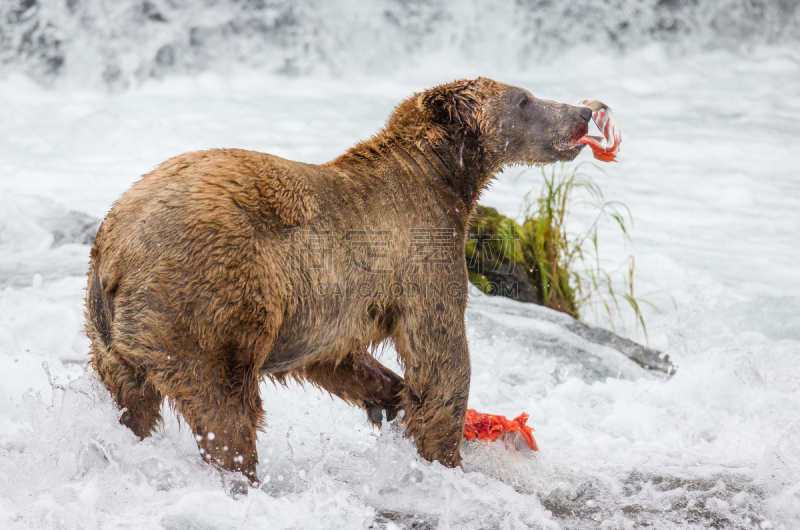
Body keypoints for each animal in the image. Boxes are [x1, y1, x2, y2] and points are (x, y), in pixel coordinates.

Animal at [84, 76, 592, 480]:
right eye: (525, 99)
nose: (584, 111)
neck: (446, 178)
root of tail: (118, 249)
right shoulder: (423, 253)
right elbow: (441, 356)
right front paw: (445, 454)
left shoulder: (331, 305)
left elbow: (339, 357)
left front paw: (392, 400)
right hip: (208, 296)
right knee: (224, 404)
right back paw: (243, 476)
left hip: (111, 336)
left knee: (133, 401)